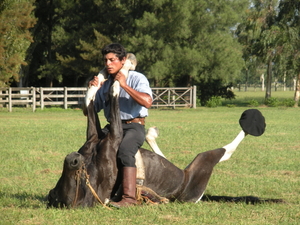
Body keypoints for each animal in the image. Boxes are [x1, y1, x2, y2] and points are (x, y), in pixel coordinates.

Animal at [47, 80, 264, 207]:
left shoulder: (94, 135)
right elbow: (113, 105)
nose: (72, 158)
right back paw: (252, 123)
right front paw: (116, 84)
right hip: (200, 167)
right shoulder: (114, 136)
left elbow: (92, 110)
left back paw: (151, 134)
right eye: (75, 178)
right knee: (224, 152)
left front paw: (95, 86)